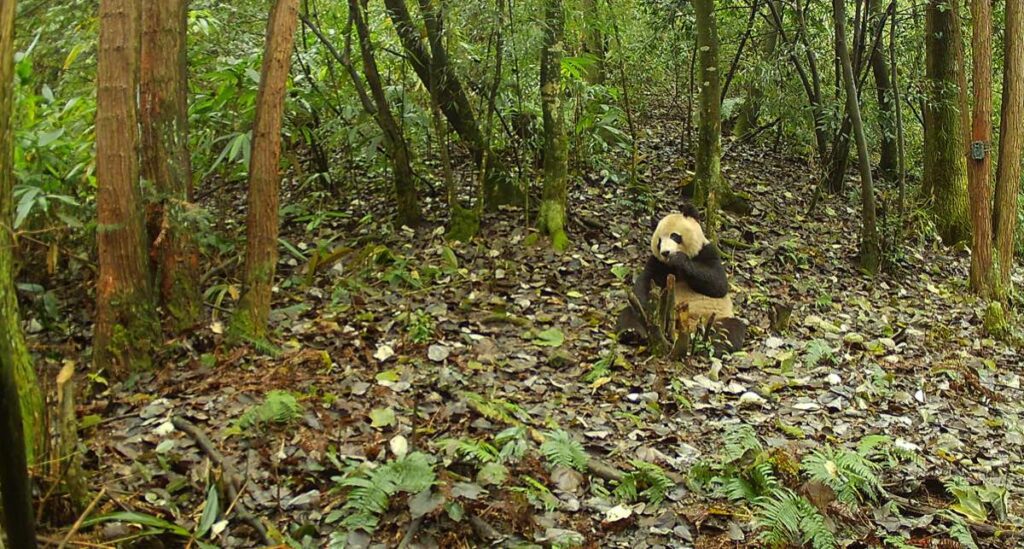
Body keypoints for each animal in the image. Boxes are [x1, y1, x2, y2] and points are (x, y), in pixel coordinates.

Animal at [610, 203, 749, 354]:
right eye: (659, 241)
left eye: (674, 236)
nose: (665, 252)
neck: (672, 266)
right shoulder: (658, 263)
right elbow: (645, 282)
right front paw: (644, 304)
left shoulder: (708, 251)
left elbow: (718, 284)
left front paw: (680, 259)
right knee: (630, 314)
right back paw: (631, 332)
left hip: (715, 316)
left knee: (730, 329)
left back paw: (711, 347)